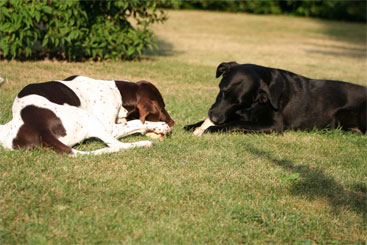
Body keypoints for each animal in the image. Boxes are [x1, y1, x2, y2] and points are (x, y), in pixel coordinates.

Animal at [188, 61, 366, 134]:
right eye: (222, 91)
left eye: (238, 102)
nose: (214, 118)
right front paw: (192, 125)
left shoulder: (274, 125)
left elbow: (235, 124)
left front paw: (210, 129)